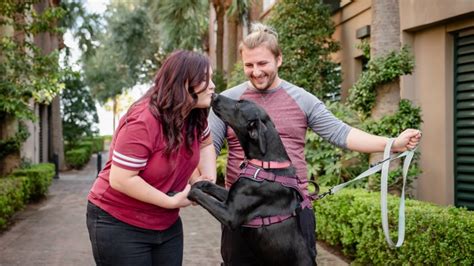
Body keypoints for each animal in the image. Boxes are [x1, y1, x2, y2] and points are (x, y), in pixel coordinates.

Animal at [188, 94, 314, 264]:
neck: (265, 163)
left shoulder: (230, 214)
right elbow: (212, 187)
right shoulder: (231, 196)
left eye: (239, 105)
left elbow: (200, 196)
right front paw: (201, 183)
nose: (214, 95)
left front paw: (190, 191)